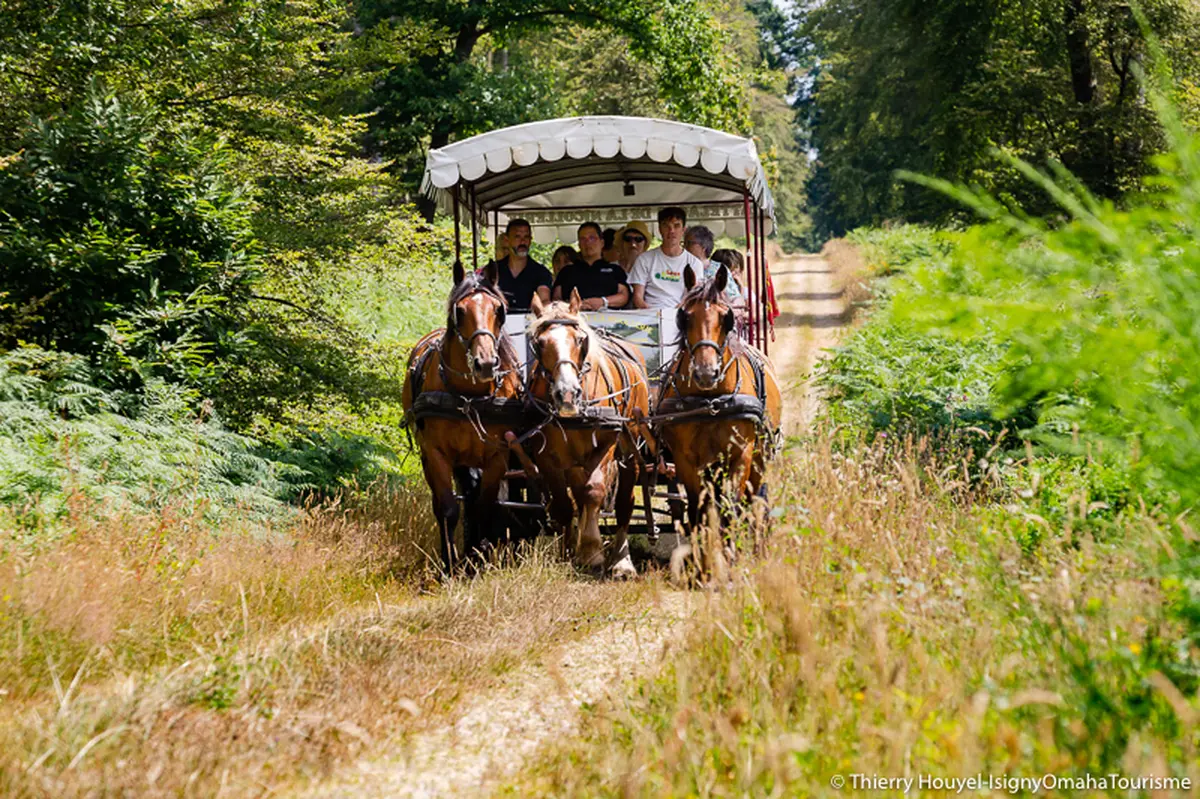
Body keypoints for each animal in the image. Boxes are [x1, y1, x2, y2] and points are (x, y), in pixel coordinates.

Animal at [401, 260, 523, 573]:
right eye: (460, 311)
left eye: (499, 310)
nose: (486, 363)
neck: (471, 397)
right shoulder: (436, 453)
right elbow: (447, 508)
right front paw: (450, 565)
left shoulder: (497, 456)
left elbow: (484, 505)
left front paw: (477, 559)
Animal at [512, 289, 652, 579]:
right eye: (539, 342)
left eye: (579, 340)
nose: (567, 394)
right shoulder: (546, 455)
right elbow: (565, 505)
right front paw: (568, 553)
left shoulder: (606, 445)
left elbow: (594, 491)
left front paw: (591, 551)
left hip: (630, 448)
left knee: (624, 502)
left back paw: (622, 560)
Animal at [655, 264, 782, 538]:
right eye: (684, 317)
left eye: (727, 317)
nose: (706, 373)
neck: (711, 402)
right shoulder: (686, 460)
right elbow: (698, 512)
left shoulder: (741, 455)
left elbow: (731, 509)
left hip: (759, 459)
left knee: (755, 501)